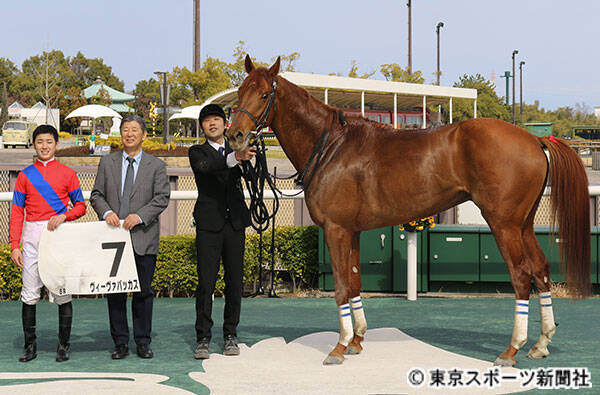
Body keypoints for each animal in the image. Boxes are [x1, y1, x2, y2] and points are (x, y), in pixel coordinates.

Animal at [227, 54, 592, 366]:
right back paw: (541, 342)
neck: (332, 147)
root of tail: (535, 141)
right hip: (524, 224)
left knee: (520, 275)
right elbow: (355, 283)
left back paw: (511, 349)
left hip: (504, 225)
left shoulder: (336, 230)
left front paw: (339, 346)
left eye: (263, 95)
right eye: (240, 93)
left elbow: (342, 286)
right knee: (541, 270)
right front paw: (357, 340)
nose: (235, 137)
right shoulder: (353, 231)